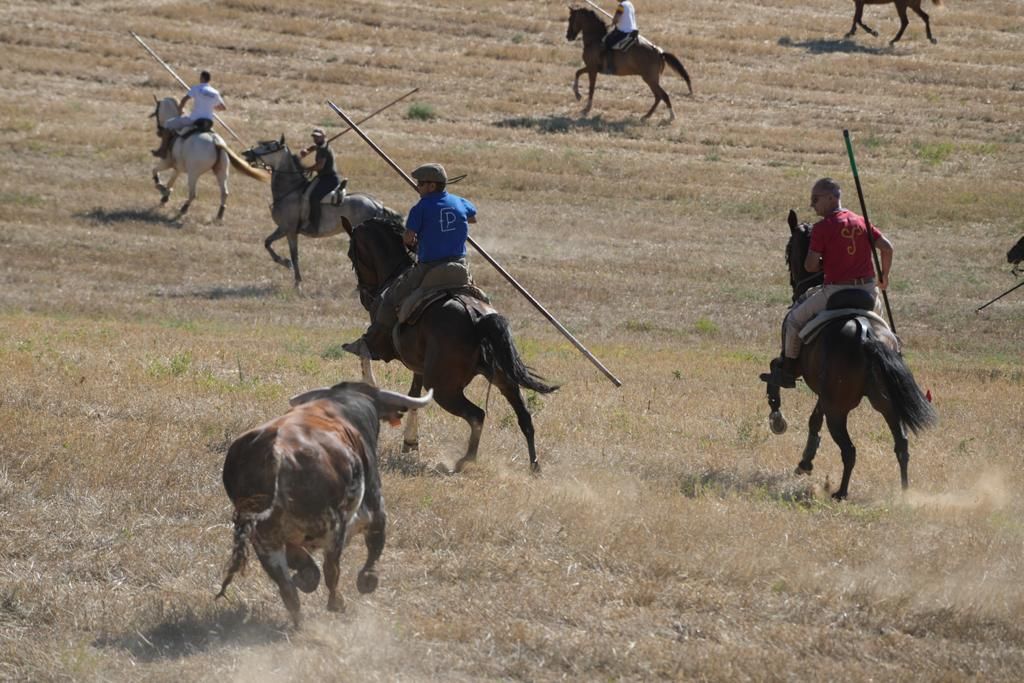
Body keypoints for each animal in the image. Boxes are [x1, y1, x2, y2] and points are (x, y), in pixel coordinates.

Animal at [216, 382, 432, 626]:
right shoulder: (375, 507)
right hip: (331, 525)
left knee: (287, 587)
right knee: (331, 569)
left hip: (264, 538)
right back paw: (337, 602)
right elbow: (375, 545)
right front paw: (368, 580)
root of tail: (276, 451)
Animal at [243, 137, 399, 286]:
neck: (290, 191)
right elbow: (267, 243)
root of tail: (377, 205)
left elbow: (293, 254)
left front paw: (296, 279)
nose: (246, 153)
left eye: (269, 147)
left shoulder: (289, 230)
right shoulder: (284, 229)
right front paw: (287, 264)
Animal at [346, 219, 557, 475]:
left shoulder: (381, 347)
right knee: (524, 416)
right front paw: (410, 442)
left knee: (477, 415)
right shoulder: (418, 366)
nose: (365, 297)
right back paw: (534, 466)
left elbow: (364, 353)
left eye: (351, 254)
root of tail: (478, 318)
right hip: (503, 379)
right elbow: (413, 395)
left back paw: (464, 461)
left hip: (443, 387)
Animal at [770, 210, 937, 499]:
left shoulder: (796, 370)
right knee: (901, 445)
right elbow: (814, 420)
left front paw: (777, 419)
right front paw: (805, 462)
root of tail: (867, 335)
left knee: (849, 450)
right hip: (885, 404)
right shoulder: (824, 394)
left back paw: (841, 492)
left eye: (788, 249)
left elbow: (774, 375)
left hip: (839, 409)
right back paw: (904, 493)